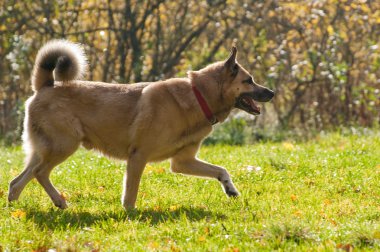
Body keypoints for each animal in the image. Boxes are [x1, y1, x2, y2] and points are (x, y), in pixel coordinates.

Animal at [8, 39, 274, 209]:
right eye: (249, 80)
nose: (271, 92)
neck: (198, 95)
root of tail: (45, 85)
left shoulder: (182, 162)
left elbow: (221, 170)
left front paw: (231, 190)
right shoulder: (138, 157)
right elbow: (130, 193)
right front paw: (130, 214)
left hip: (45, 150)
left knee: (18, 180)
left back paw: (21, 207)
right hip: (64, 145)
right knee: (39, 173)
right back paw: (55, 202)